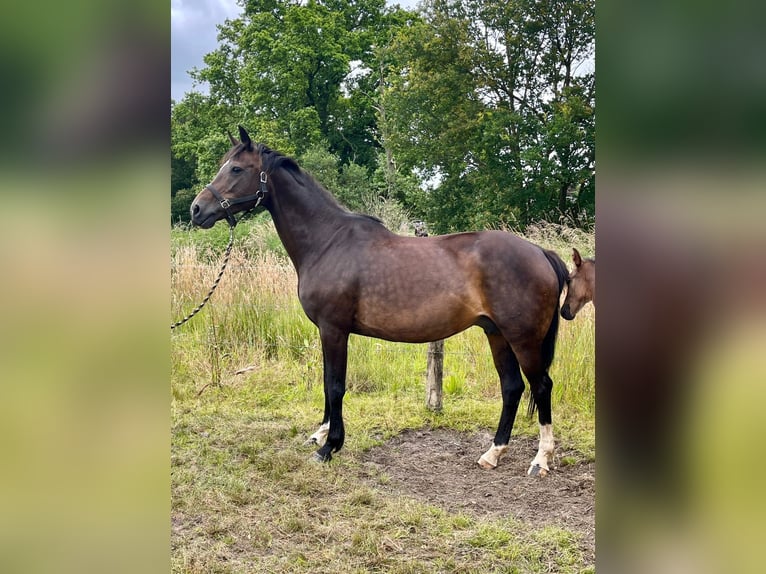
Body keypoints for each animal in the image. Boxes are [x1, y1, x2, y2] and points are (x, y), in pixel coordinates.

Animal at [191, 128, 568, 480]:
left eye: (236, 168)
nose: (197, 210)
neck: (327, 242)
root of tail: (540, 252)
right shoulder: (328, 332)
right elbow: (328, 381)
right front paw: (322, 433)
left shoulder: (334, 329)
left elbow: (335, 385)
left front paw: (329, 447)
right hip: (496, 333)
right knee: (513, 387)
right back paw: (493, 453)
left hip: (522, 339)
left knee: (542, 386)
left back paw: (540, 460)